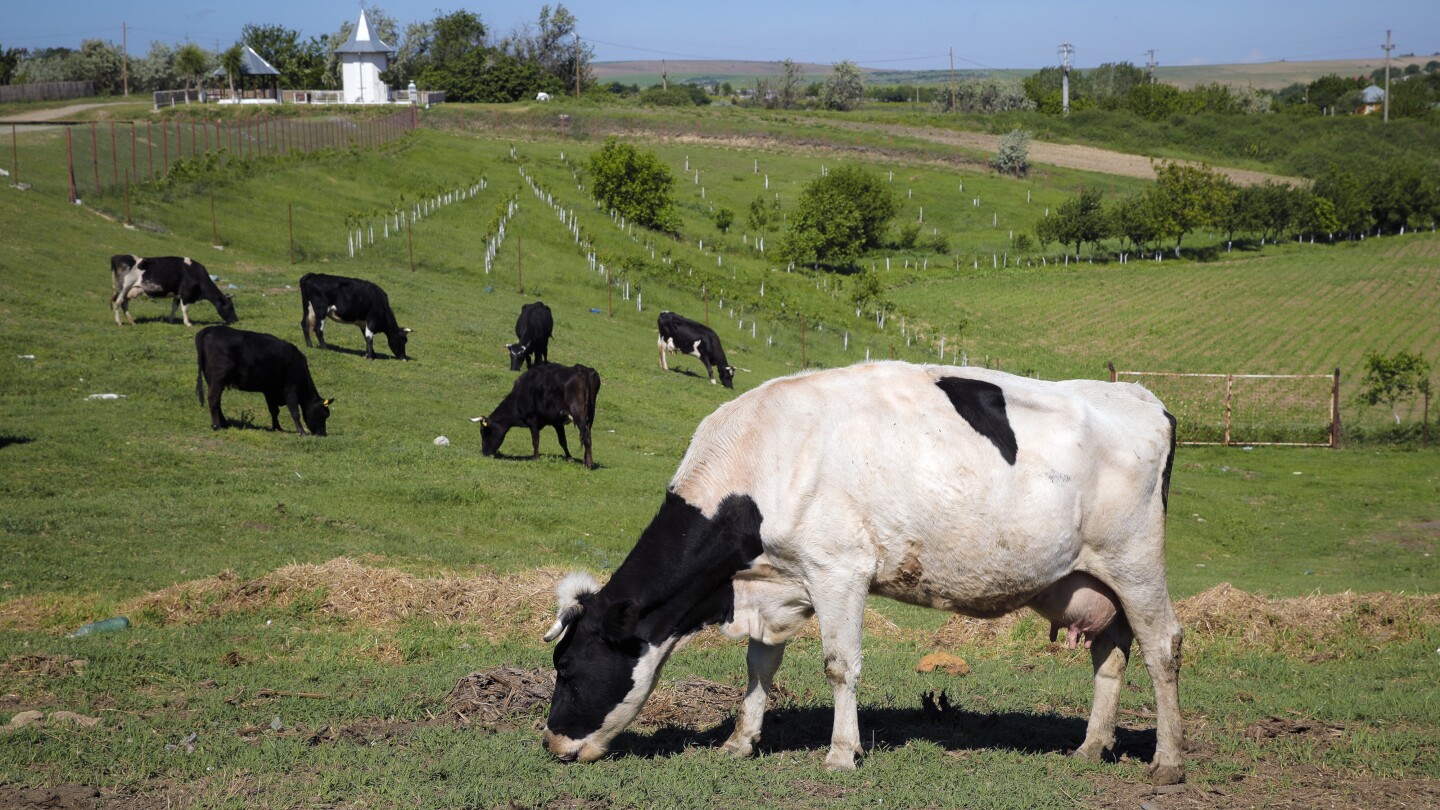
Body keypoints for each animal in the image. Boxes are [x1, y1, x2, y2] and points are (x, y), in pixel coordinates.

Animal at [195, 321, 332, 435]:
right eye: (325, 414)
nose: (323, 434)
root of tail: (211, 329)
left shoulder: (269, 390)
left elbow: (274, 410)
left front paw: (277, 427)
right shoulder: (291, 389)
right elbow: (295, 412)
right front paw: (301, 431)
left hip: (213, 380)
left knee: (217, 401)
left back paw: (224, 423)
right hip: (218, 378)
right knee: (213, 399)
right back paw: (217, 425)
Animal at [472, 360, 601, 466]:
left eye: (483, 431)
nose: (484, 453)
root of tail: (580, 368)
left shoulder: (532, 420)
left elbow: (535, 440)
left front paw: (536, 458)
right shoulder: (557, 422)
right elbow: (563, 441)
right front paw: (569, 458)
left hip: (578, 413)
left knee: (586, 436)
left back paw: (589, 464)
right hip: (591, 415)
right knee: (587, 435)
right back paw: (586, 460)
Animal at [544, 358, 1186, 784]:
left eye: (568, 668)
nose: (551, 743)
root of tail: (1144, 398)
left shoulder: (839, 569)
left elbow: (839, 665)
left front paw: (840, 753)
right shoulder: (777, 583)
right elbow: (760, 665)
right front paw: (740, 741)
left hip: (1135, 562)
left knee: (1163, 646)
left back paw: (1168, 760)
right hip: (1095, 581)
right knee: (1111, 656)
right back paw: (1092, 747)